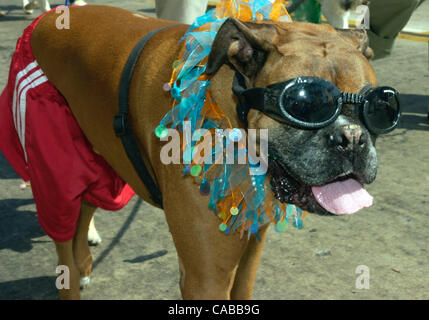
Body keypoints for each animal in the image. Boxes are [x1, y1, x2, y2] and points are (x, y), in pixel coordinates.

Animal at [30, 5, 376, 300]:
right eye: (305, 105)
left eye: (379, 106)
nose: (352, 137)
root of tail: (45, 22)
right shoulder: (206, 278)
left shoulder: (251, 247)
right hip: (58, 177)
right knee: (64, 240)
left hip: (103, 160)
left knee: (86, 205)